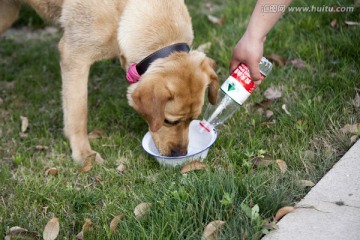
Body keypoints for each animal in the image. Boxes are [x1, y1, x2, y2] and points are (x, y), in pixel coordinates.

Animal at [0, 0, 219, 163]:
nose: (181, 155)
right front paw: (83, 154)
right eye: (168, 121)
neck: (125, 9)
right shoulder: (74, 55)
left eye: (192, 120)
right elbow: (78, 113)